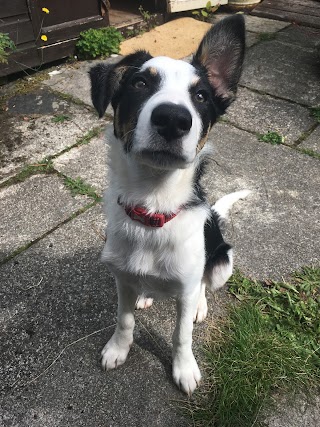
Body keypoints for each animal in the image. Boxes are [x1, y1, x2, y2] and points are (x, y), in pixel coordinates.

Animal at [89, 15, 248, 396]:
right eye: (140, 83)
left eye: (201, 95)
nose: (173, 119)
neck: (153, 207)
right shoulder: (120, 278)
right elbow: (124, 319)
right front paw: (118, 349)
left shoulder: (187, 286)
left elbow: (181, 334)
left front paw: (184, 368)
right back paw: (146, 294)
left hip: (223, 261)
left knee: (204, 284)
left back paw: (199, 305)